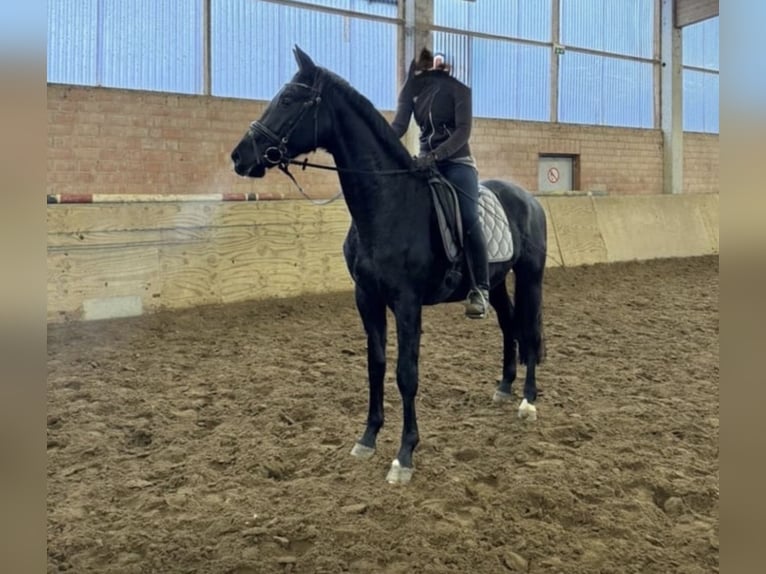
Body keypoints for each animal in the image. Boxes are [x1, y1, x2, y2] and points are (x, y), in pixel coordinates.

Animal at [231, 46, 547, 485]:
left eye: (290, 99)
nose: (240, 156)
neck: (387, 204)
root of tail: (529, 198)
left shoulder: (407, 303)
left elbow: (405, 373)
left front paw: (404, 456)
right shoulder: (367, 298)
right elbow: (376, 365)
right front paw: (367, 438)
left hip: (531, 275)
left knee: (529, 330)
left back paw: (528, 402)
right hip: (497, 283)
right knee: (508, 324)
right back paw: (503, 387)